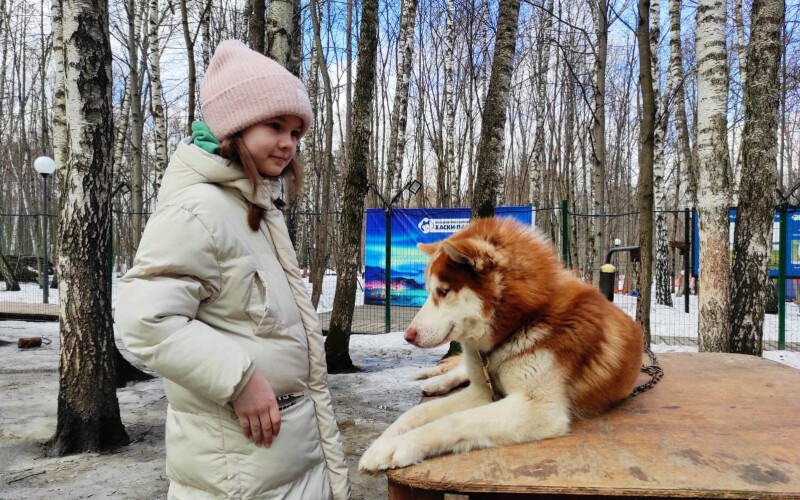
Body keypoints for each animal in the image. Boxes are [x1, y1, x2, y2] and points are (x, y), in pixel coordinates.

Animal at [360, 217, 640, 470]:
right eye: (430, 291)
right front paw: (384, 439)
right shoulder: (484, 393)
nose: (408, 335)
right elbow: (416, 413)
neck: (521, 322)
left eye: (443, 291)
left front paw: (396, 446)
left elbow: (453, 421)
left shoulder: (537, 409)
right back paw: (436, 382)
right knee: (460, 372)